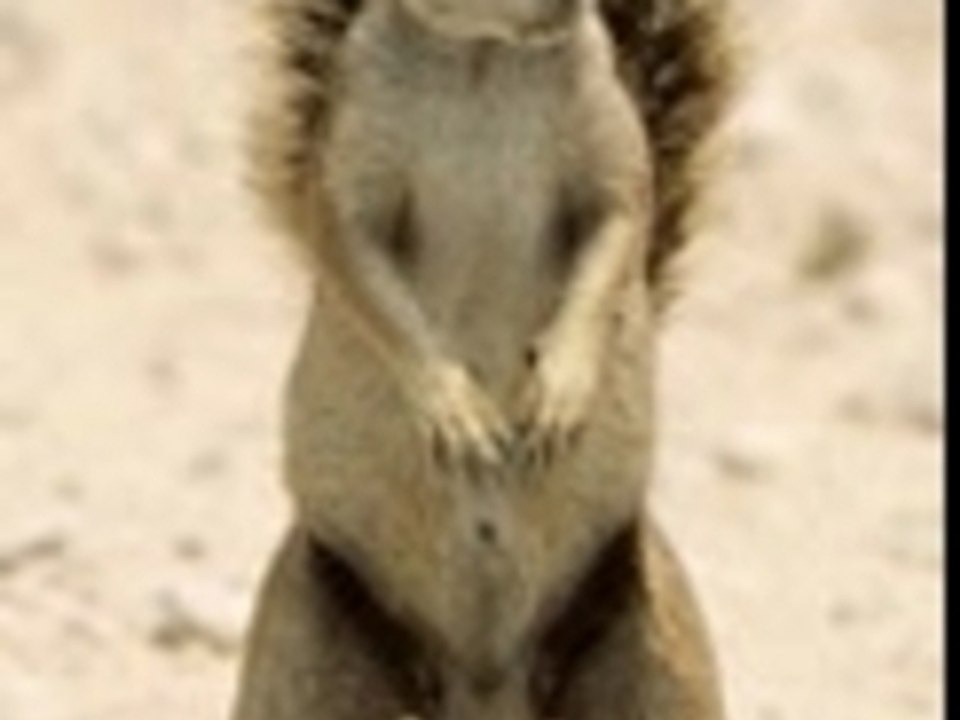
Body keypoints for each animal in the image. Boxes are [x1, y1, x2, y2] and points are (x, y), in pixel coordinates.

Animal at [233, 0, 735, 718]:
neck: (482, 58)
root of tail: (487, 688)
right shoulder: (356, 143)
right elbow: (353, 255)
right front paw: (455, 412)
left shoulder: (605, 131)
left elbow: (619, 232)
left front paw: (560, 390)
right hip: (316, 648)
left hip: (652, 654)